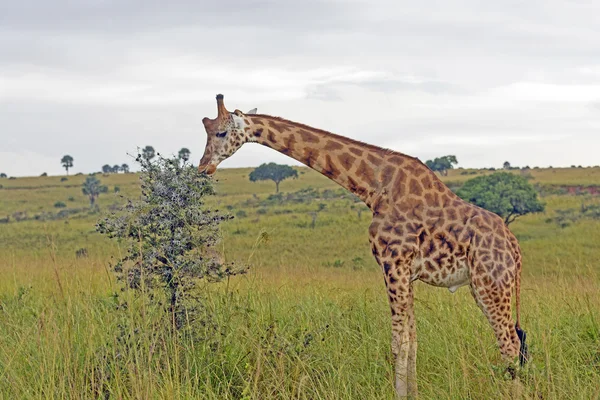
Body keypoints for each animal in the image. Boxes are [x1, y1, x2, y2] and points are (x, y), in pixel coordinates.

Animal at [197, 95, 524, 398]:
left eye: (221, 133)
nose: (203, 167)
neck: (374, 187)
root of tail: (515, 249)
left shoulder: (393, 264)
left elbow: (398, 343)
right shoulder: (408, 274)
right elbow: (413, 341)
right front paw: (413, 394)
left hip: (490, 284)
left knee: (510, 343)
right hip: (486, 286)